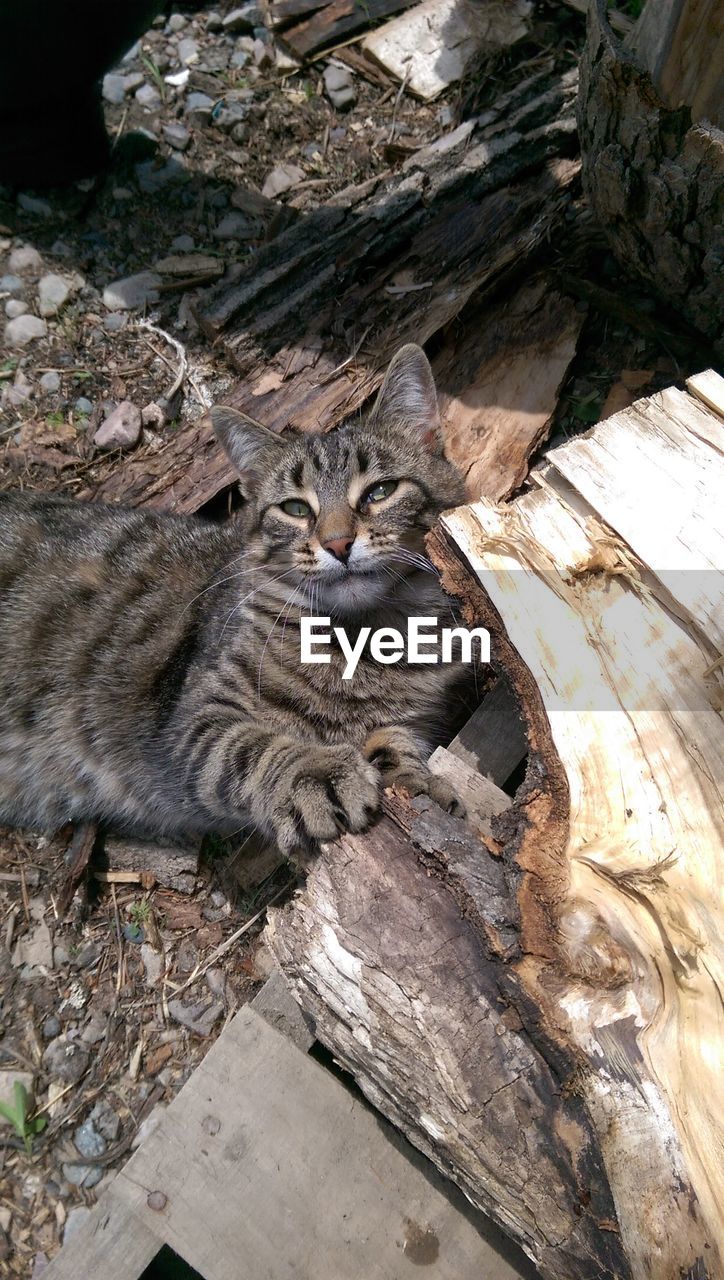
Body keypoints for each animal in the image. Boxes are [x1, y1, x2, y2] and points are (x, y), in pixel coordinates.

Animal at [0, 345, 470, 855]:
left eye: (380, 491)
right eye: (295, 508)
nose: (338, 543)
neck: (364, 637)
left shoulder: (411, 719)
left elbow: (395, 742)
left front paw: (418, 783)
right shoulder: (190, 721)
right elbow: (250, 749)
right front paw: (315, 773)